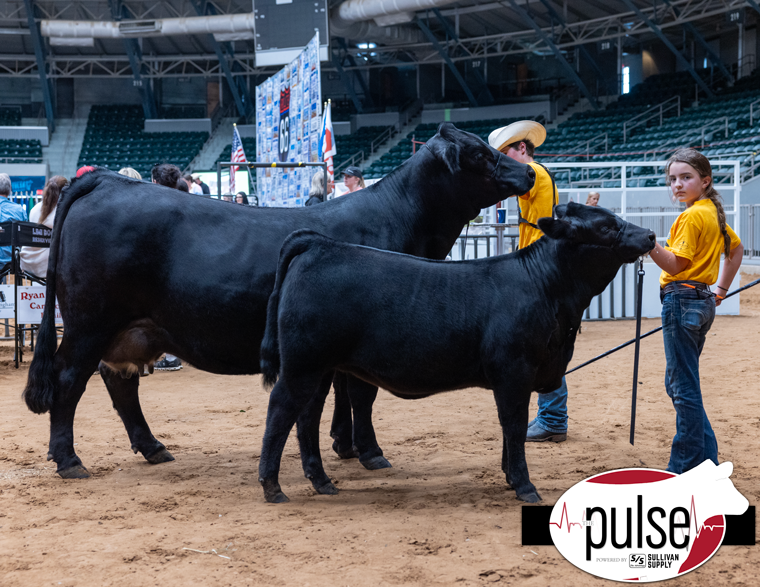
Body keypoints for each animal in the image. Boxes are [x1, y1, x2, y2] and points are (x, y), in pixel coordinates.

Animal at [23, 121, 536, 480]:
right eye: (480, 153)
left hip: (131, 328)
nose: (529, 171)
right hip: (90, 322)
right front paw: (370, 452)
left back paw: (152, 448)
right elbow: (362, 394)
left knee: (119, 384)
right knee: (69, 380)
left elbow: (344, 393)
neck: (398, 220)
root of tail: (108, 180)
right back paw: (69, 459)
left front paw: (343, 445)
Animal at [258, 203, 656, 506]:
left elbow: (507, 426)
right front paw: (525, 486)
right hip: (303, 365)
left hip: (320, 368)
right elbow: (514, 425)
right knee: (281, 411)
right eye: (605, 227)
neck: (547, 289)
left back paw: (322, 481)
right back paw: (272, 487)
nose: (650, 236)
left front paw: (510, 477)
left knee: (306, 417)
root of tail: (320, 244)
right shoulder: (515, 370)